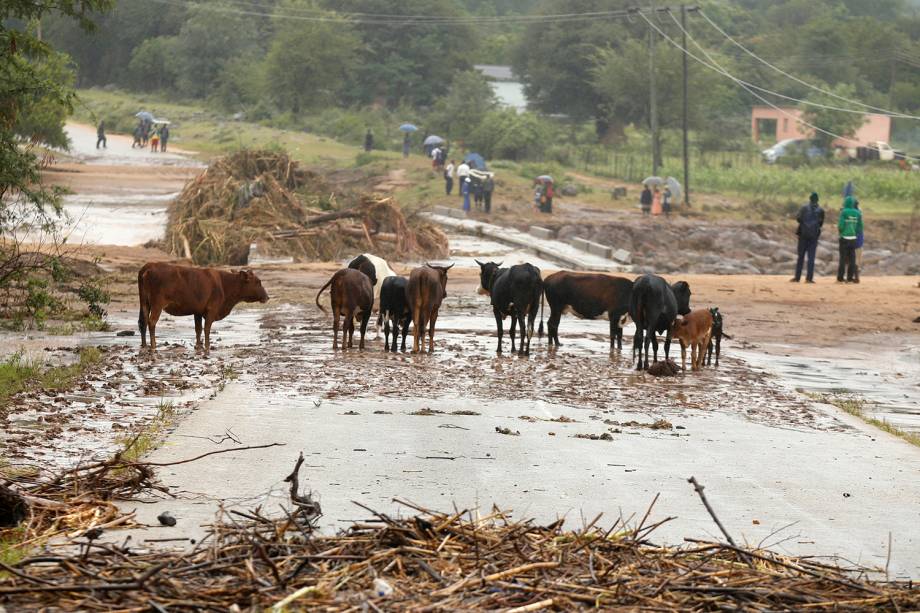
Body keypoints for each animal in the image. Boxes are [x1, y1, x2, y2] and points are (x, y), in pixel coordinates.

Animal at [136, 262, 270, 354]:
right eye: (258, 282)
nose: (267, 297)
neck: (225, 285)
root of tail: (149, 266)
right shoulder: (212, 309)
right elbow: (206, 329)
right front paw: (207, 346)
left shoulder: (198, 311)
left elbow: (198, 329)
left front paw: (198, 346)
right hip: (157, 304)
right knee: (151, 322)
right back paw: (153, 346)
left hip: (144, 302)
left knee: (143, 322)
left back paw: (144, 345)